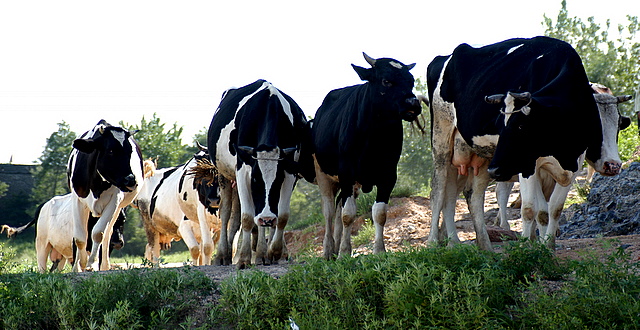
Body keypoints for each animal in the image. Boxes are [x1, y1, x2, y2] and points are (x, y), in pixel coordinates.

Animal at [67, 119, 142, 270]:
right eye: (111, 151)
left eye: (130, 151)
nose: (131, 180)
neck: (97, 184)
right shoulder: (77, 200)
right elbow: (79, 238)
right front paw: (80, 265)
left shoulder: (115, 201)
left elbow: (99, 233)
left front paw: (91, 263)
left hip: (118, 208)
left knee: (107, 234)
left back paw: (104, 266)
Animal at [209, 79, 312, 268]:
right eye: (255, 180)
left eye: (278, 180)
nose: (267, 218)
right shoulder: (242, 171)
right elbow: (247, 217)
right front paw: (244, 258)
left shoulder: (290, 171)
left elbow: (282, 215)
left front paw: (276, 251)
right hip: (223, 175)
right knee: (226, 213)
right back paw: (222, 255)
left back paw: (266, 253)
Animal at [312, 52, 422, 260]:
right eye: (386, 81)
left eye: (411, 81)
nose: (413, 103)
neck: (374, 135)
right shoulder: (346, 172)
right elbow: (348, 214)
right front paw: (344, 253)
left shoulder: (389, 173)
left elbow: (379, 213)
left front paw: (379, 250)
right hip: (323, 174)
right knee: (329, 211)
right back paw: (329, 250)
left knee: (337, 208)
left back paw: (336, 246)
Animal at [428, 36, 608, 250]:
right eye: (499, 125)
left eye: (521, 127)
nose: (496, 171)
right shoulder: (528, 165)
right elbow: (532, 209)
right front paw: (527, 246)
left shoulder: (575, 162)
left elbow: (554, 209)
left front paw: (547, 246)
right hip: (442, 138)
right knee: (438, 190)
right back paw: (433, 242)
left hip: (484, 154)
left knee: (472, 194)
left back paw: (484, 246)